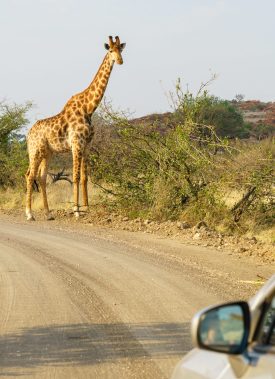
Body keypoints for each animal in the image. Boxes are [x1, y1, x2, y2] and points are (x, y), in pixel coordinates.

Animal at [25, 36, 126, 220]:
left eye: (120, 50)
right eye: (110, 50)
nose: (120, 61)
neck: (89, 108)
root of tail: (28, 134)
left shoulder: (87, 145)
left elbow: (85, 177)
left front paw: (87, 207)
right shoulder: (76, 144)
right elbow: (76, 176)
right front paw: (76, 210)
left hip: (48, 153)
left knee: (41, 177)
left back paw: (48, 213)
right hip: (35, 151)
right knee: (30, 176)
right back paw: (29, 214)